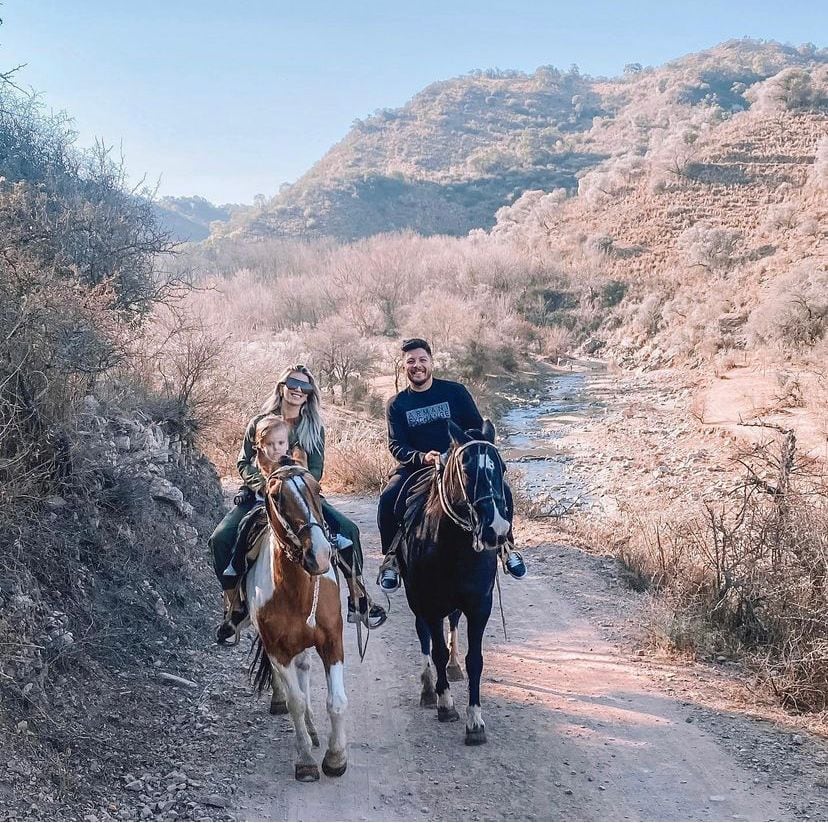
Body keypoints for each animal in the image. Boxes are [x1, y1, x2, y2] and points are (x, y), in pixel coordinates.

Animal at [247, 460, 348, 784]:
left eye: (317, 488)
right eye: (276, 497)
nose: (320, 554)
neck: (296, 591)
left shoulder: (332, 642)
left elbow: (336, 701)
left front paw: (336, 758)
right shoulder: (278, 651)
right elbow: (296, 702)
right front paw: (304, 761)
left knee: (304, 668)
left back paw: (315, 731)